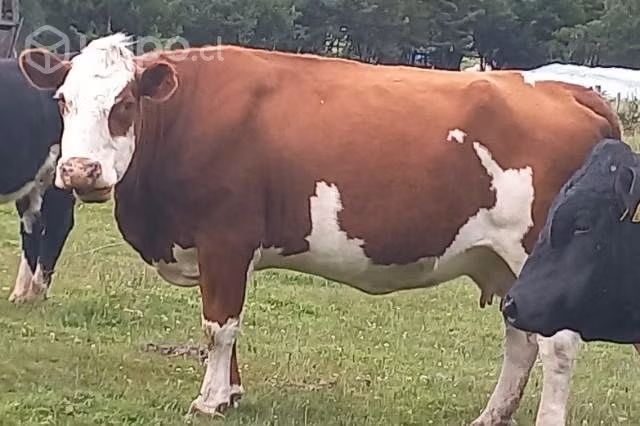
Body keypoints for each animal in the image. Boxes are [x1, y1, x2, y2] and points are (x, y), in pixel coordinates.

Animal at [18, 33, 622, 425]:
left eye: (123, 103)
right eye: (62, 101)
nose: (79, 171)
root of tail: (565, 89)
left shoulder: (225, 239)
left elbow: (219, 325)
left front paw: (209, 401)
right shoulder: (227, 252)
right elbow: (227, 325)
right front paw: (232, 393)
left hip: (538, 252)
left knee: (558, 344)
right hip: (509, 264)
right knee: (522, 339)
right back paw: (491, 416)